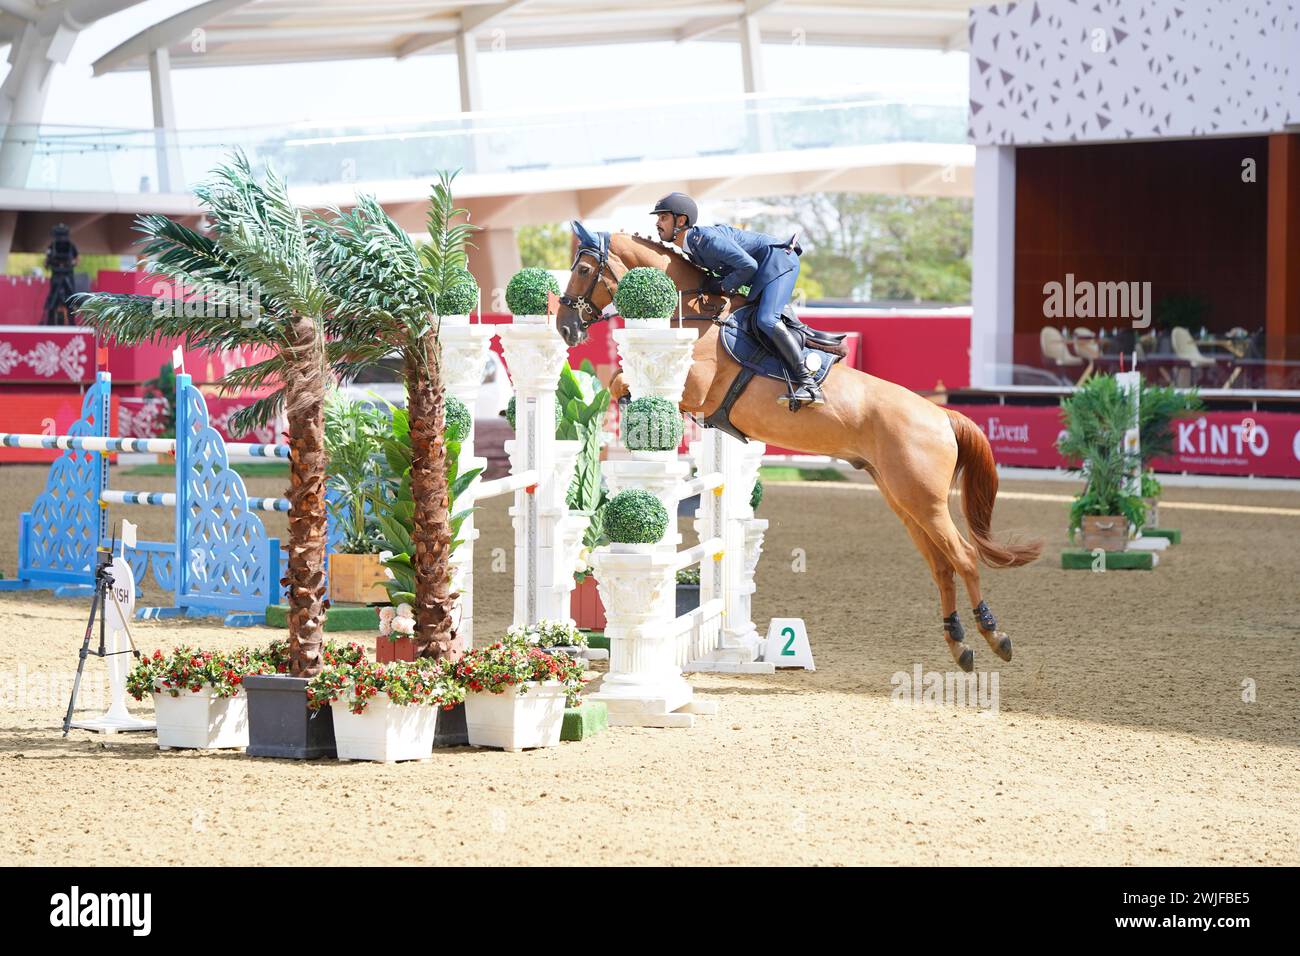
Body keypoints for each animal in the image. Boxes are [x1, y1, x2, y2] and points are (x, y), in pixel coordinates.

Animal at [553, 230, 1040, 671]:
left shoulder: (696, 386)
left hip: (925, 501)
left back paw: (995, 636)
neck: (695, 314)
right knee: (942, 566)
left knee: (964, 557)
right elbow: (619, 379)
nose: (565, 327)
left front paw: (640, 416)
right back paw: (959, 644)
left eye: (583, 270)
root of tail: (941, 415)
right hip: (905, 501)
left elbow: (623, 379)